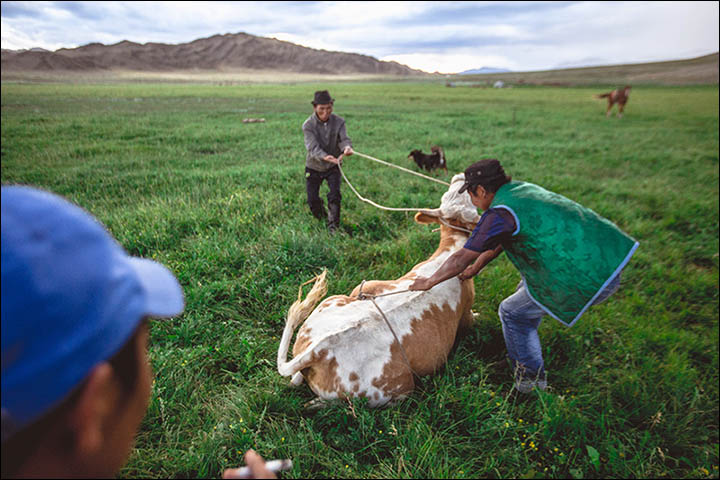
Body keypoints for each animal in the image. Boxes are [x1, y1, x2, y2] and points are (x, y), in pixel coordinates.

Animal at [278, 174, 480, 406]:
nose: (462, 176)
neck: (449, 251)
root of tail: (319, 349)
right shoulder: (465, 315)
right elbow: (471, 319)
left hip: (339, 296)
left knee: (295, 379)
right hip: (396, 390)